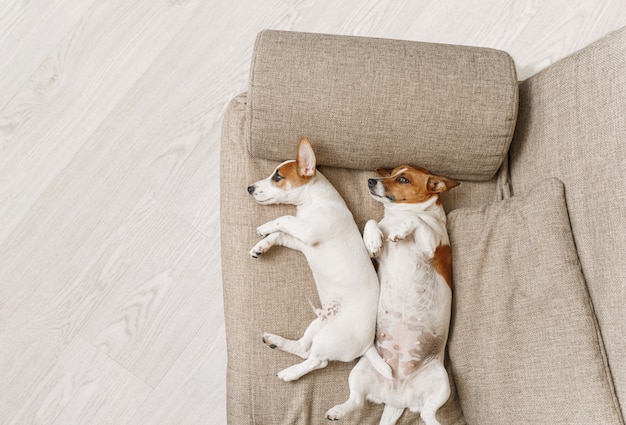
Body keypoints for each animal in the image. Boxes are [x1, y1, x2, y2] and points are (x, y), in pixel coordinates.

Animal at [245, 137, 388, 382]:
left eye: (277, 177)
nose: (249, 188)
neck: (315, 202)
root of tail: (369, 345)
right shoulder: (300, 241)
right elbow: (279, 234)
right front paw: (261, 245)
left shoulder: (307, 232)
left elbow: (283, 218)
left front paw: (265, 226)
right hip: (318, 322)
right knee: (303, 347)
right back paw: (275, 341)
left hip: (328, 337)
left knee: (316, 361)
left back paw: (290, 373)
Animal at [326, 165, 458, 424]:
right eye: (392, 173)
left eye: (403, 179)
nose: (370, 180)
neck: (399, 214)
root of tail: (397, 398)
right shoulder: (378, 252)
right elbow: (371, 222)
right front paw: (374, 240)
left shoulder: (432, 246)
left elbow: (417, 219)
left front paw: (401, 230)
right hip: (361, 372)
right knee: (356, 400)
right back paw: (338, 411)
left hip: (441, 384)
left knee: (429, 414)